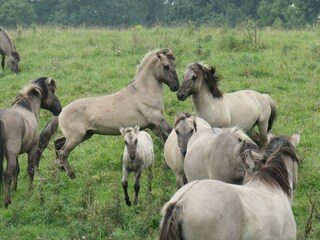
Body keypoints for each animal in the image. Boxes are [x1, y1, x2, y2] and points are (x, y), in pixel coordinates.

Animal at [0, 78, 62, 207]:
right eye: (53, 91)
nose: (59, 109)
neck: (27, 108)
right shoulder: (31, 149)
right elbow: (30, 169)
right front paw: (30, 190)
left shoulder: (16, 154)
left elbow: (17, 170)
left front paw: (15, 189)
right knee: (7, 174)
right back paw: (7, 201)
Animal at [36, 48, 179, 178]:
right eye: (166, 66)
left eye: (174, 65)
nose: (176, 87)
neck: (143, 92)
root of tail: (61, 111)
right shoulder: (157, 120)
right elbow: (170, 133)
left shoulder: (152, 125)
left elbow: (166, 137)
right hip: (76, 137)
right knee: (63, 152)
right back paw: (72, 175)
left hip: (84, 135)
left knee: (57, 143)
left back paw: (60, 168)